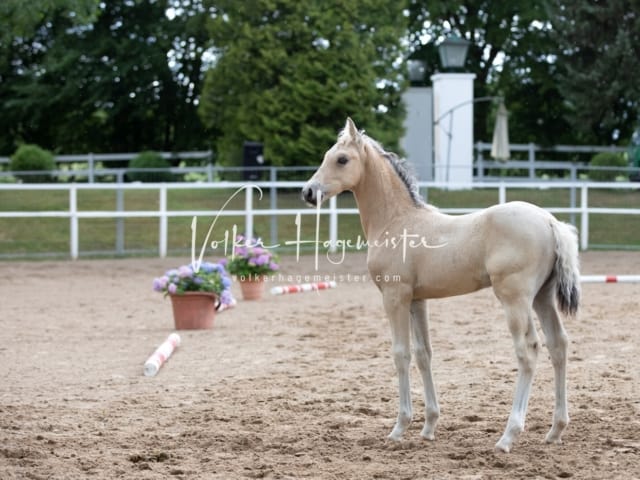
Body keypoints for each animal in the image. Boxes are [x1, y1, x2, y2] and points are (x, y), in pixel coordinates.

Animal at [302, 118, 580, 452]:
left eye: (342, 159)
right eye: (327, 155)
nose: (308, 192)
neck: (397, 221)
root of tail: (550, 222)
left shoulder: (394, 297)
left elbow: (401, 354)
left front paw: (399, 427)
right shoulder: (416, 300)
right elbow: (424, 354)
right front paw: (429, 426)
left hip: (515, 299)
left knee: (528, 350)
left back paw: (508, 436)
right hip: (542, 297)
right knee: (558, 344)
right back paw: (556, 429)